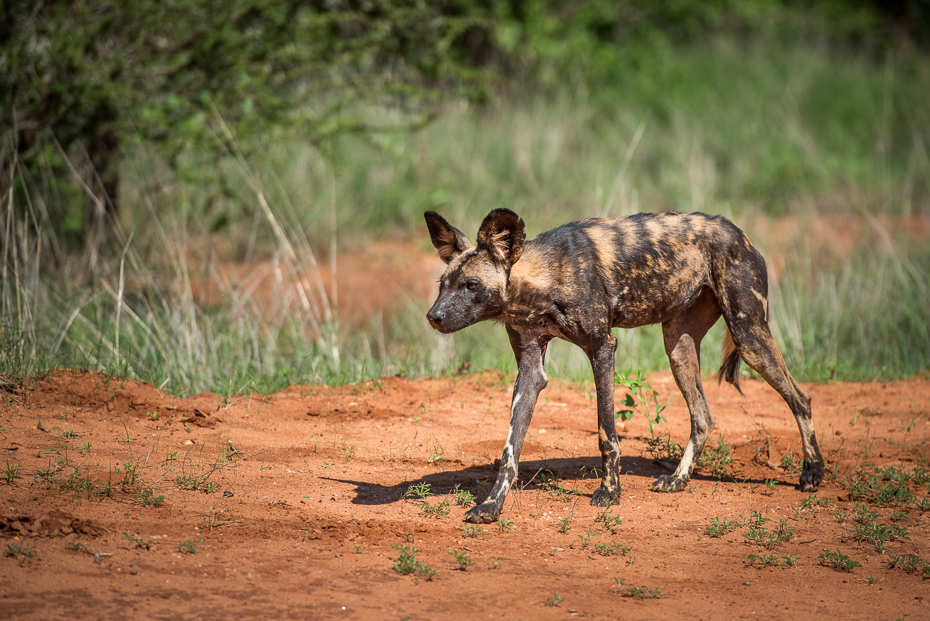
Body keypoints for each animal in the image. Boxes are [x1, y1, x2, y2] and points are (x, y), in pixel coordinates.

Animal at [424, 209, 824, 524]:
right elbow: (510, 450)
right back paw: (678, 480)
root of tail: (739, 232)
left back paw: (813, 473)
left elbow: (606, 433)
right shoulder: (530, 370)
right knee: (703, 417)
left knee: (801, 399)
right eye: (443, 284)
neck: (543, 280)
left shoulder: (603, 348)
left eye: (471, 285)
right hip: (677, 347)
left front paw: (609, 492)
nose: (433, 317)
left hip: (749, 336)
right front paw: (491, 506)